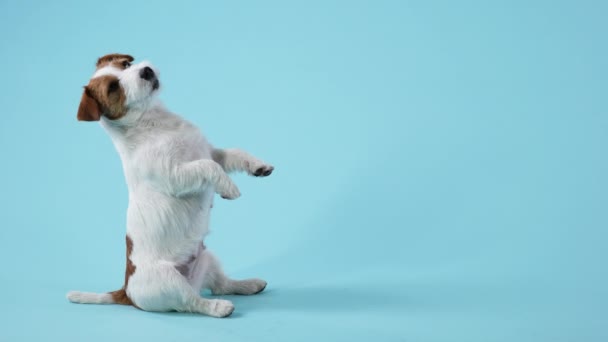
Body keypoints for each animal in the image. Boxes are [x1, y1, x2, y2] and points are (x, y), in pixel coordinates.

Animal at [66, 54, 274, 318]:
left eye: (125, 64)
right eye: (113, 88)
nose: (145, 71)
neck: (154, 121)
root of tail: (127, 293)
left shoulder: (210, 151)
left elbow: (232, 154)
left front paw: (258, 165)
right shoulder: (175, 175)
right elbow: (207, 166)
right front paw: (228, 188)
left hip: (208, 258)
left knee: (220, 284)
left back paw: (249, 284)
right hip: (169, 280)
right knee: (193, 302)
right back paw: (219, 307)